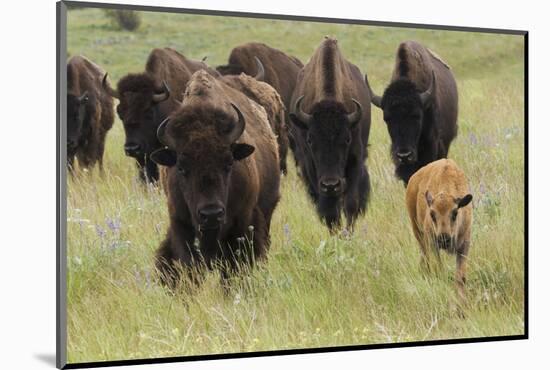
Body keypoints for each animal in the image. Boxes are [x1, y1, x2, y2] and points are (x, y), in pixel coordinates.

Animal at [288, 36, 370, 231]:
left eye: (347, 139)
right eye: (310, 140)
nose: (331, 184)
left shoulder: (355, 159)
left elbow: (351, 203)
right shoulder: (311, 166)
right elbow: (328, 210)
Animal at [406, 159, 474, 298]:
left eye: (455, 213)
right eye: (432, 214)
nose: (444, 239)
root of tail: (413, 179)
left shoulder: (464, 246)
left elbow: (461, 277)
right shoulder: (433, 244)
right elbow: (439, 270)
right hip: (418, 232)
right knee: (425, 258)